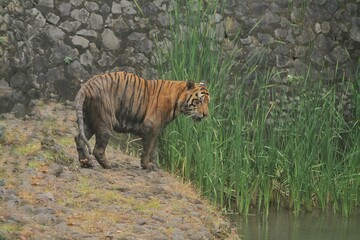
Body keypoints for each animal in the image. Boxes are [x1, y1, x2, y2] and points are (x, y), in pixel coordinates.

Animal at [74, 71, 210, 171]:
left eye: (208, 102)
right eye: (199, 101)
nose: (206, 115)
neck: (177, 100)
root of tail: (87, 85)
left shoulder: (157, 128)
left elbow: (154, 148)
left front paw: (155, 166)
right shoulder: (151, 126)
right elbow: (148, 147)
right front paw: (147, 165)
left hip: (88, 121)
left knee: (79, 137)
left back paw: (86, 162)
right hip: (105, 121)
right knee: (98, 149)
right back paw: (109, 165)